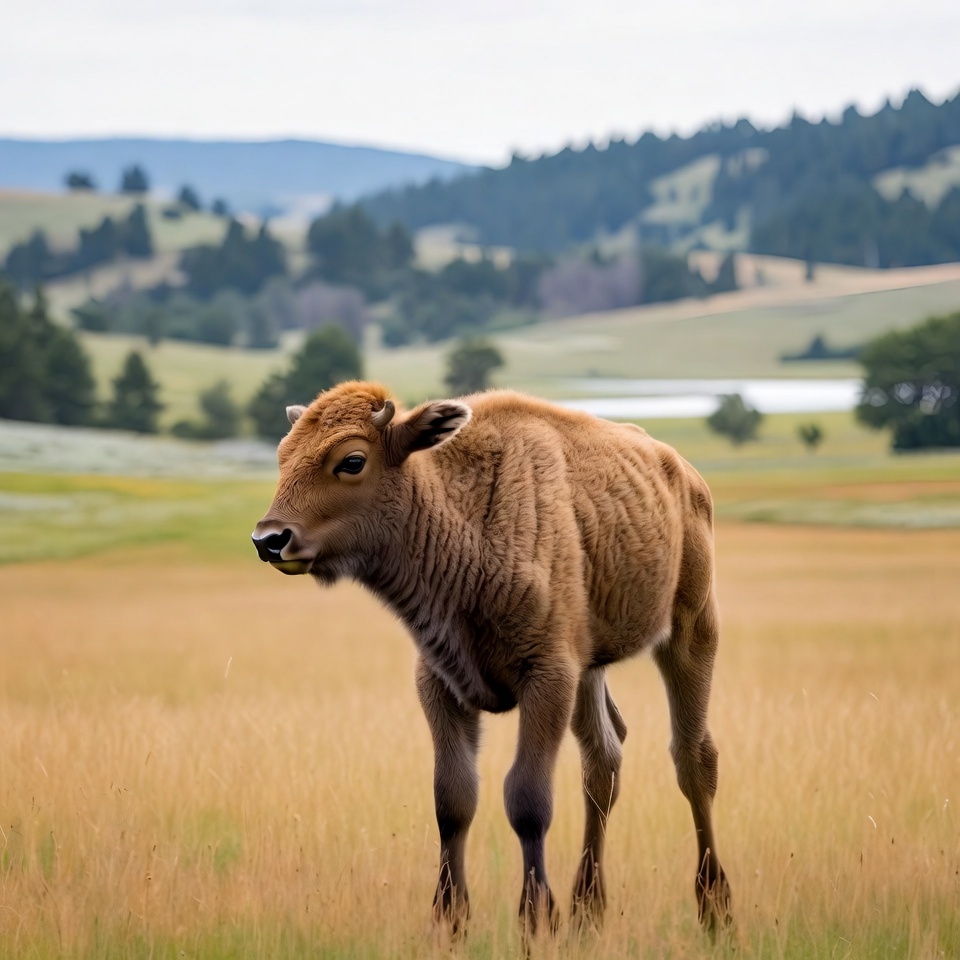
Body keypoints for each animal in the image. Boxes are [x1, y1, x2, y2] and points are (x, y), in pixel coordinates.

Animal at [251, 380, 731, 937]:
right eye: (283, 455)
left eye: (352, 460)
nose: (270, 539)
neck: (462, 515)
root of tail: (685, 475)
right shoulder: (441, 683)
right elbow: (453, 800)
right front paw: (449, 920)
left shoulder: (548, 678)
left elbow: (527, 799)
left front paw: (536, 917)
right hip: (591, 670)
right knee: (603, 760)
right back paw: (588, 910)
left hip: (690, 629)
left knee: (693, 758)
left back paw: (715, 908)